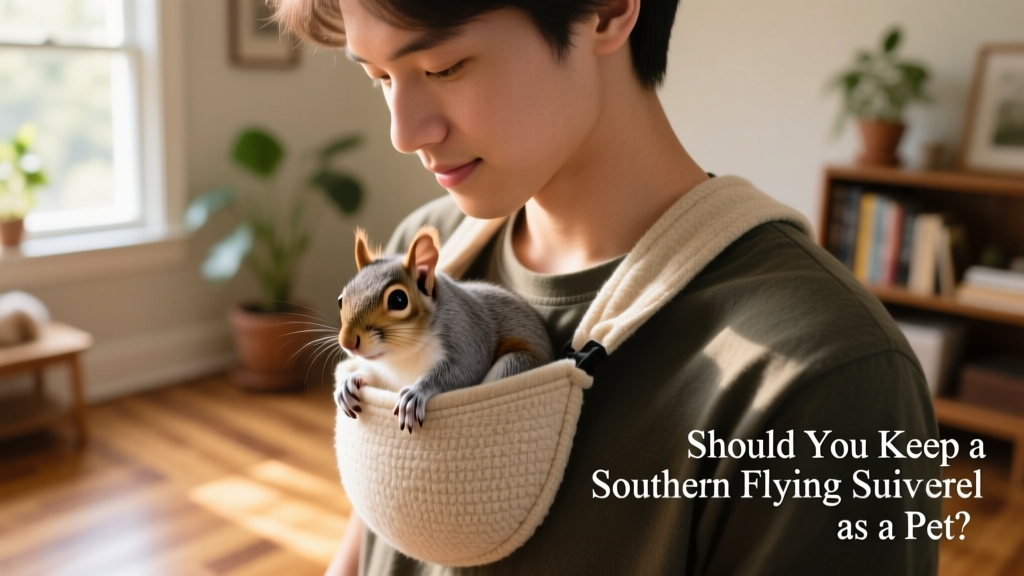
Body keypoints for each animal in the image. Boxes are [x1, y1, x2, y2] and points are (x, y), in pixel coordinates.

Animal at [334, 226, 554, 433]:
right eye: (340, 300)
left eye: (398, 300)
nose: (347, 342)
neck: (402, 357)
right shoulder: (387, 374)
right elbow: (375, 376)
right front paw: (350, 380)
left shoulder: (466, 334)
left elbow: (463, 370)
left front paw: (416, 392)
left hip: (514, 363)